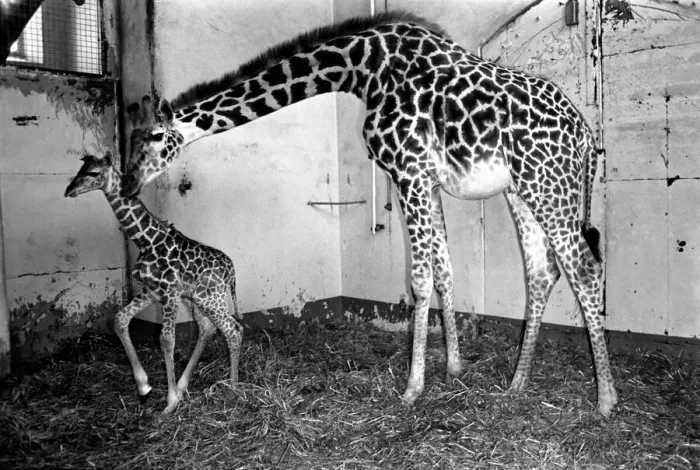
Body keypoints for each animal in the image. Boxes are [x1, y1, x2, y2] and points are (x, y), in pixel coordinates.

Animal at [65, 153, 243, 414]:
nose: (69, 190)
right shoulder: (151, 291)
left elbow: (167, 341)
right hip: (198, 299)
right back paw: (184, 385)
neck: (147, 240)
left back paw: (232, 387)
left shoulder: (169, 293)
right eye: (81, 169)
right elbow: (120, 319)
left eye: (94, 173)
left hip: (211, 298)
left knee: (233, 329)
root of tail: (232, 271)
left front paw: (170, 402)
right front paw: (144, 387)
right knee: (208, 329)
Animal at [122, 11, 617, 416]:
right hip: (523, 190)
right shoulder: (425, 180)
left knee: (585, 269)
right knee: (542, 271)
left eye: (153, 138)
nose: (128, 183)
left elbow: (420, 278)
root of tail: (585, 136)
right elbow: (445, 268)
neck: (361, 71)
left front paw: (413, 388)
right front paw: (454, 367)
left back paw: (606, 400)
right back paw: (517, 385)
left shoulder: (409, 170)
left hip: (547, 185)